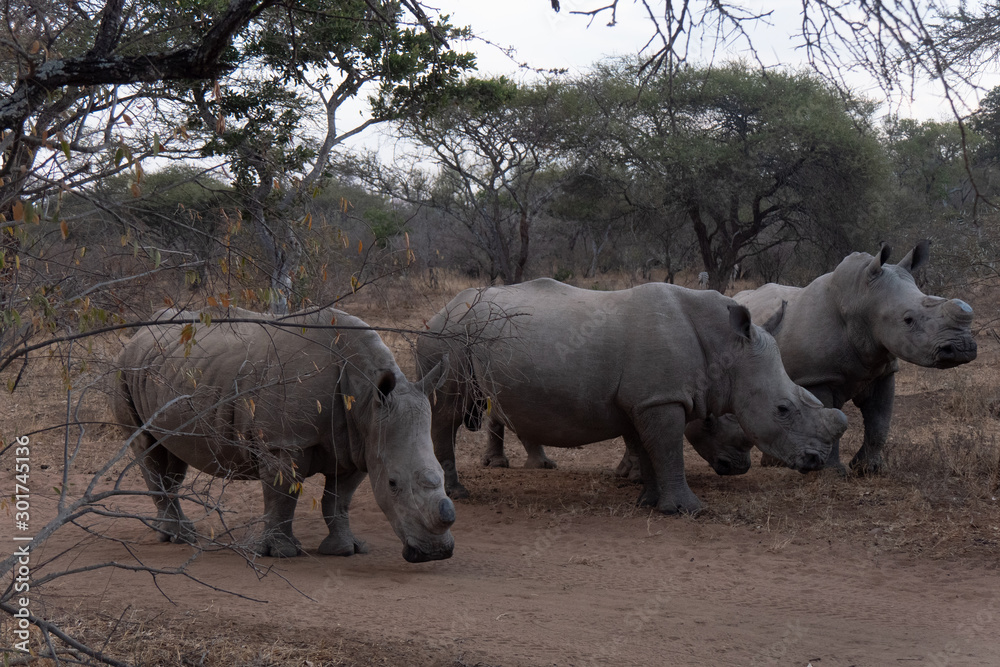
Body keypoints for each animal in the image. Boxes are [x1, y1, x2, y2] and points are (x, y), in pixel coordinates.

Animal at [113, 306, 455, 563]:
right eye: (394, 483)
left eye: (441, 475)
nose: (435, 553)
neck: (367, 399)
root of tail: (137, 335)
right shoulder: (286, 442)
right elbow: (283, 494)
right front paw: (281, 553)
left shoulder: (361, 444)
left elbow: (338, 500)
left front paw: (346, 549)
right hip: (124, 368)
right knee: (148, 448)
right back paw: (179, 538)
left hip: (163, 368)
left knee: (172, 455)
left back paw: (179, 532)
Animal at [415, 278, 848, 513]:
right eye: (783, 409)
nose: (815, 460)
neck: (726, 347)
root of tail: (438, 313)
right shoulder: (661, 398)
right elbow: (668, 449)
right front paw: (688, 511)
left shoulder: (645, 400)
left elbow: (648, 447)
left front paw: (650, 503)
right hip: (449, 341)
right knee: (448, 410)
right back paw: (458, 493)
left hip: (459, 339)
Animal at [728, 241, 977, 474]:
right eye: (908, 320)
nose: (962, 348)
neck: (861, 300)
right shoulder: (817, 376)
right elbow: (829, 418)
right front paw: (832, 473)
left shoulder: (883, 370)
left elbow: (879, 422)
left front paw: (869, 469)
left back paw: (776, 463)